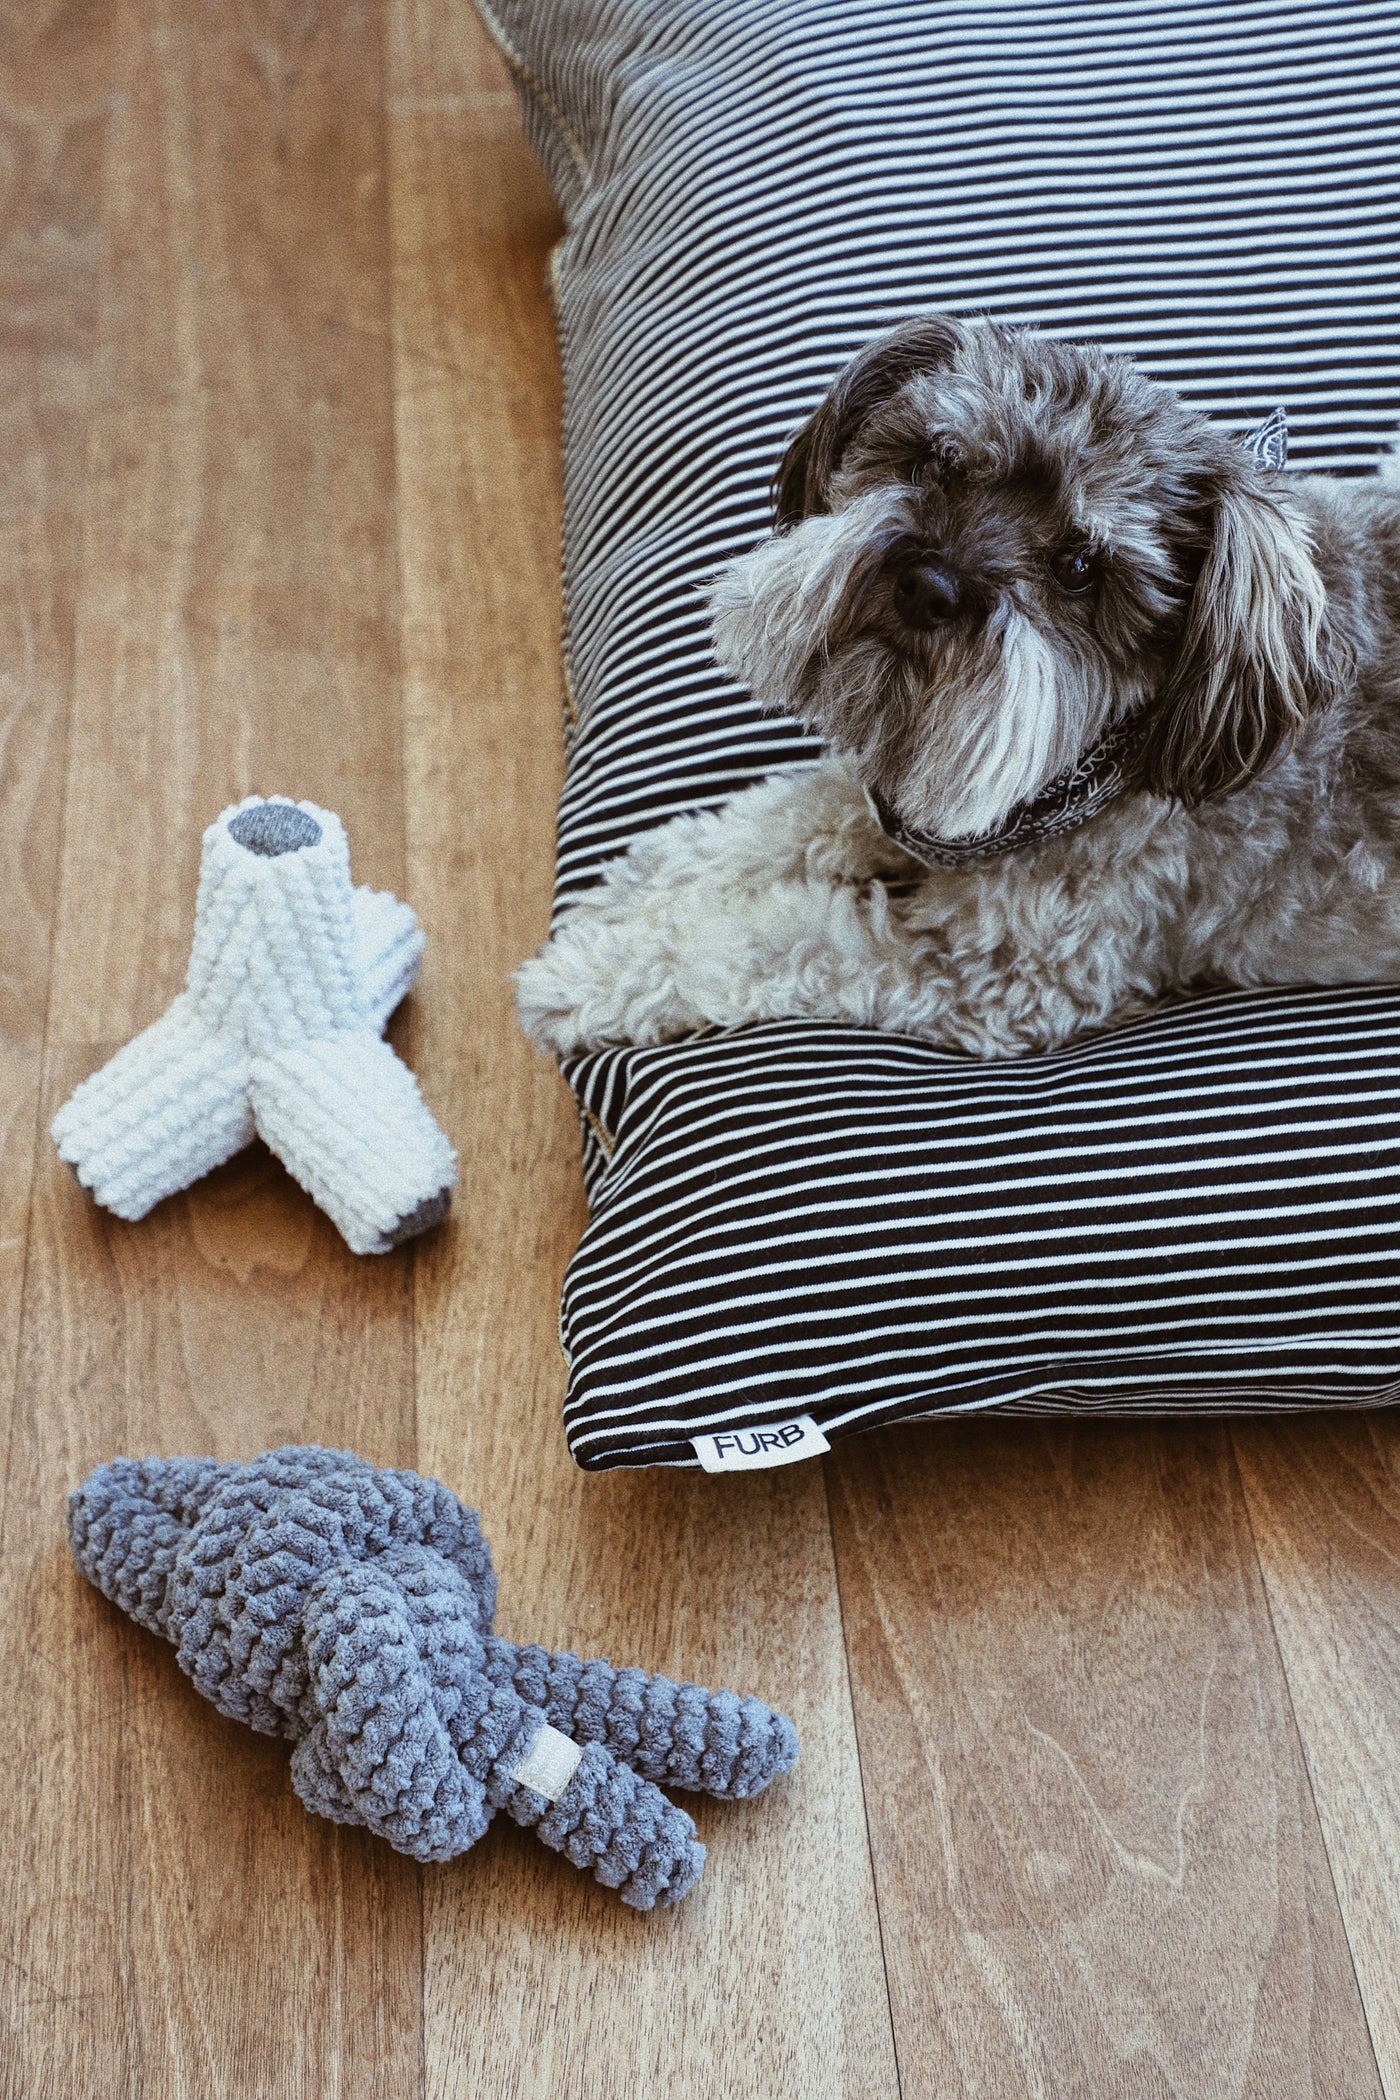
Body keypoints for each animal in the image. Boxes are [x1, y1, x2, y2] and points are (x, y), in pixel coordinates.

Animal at [514, 317, 1400, 1058]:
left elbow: (776, 939)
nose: (928, 585)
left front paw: (589, 971)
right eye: (941, 460)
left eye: (1079, 567)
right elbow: (776, 819)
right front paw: (637, 886)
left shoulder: (1000, 977)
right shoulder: (896, 800)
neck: (1106, 760)